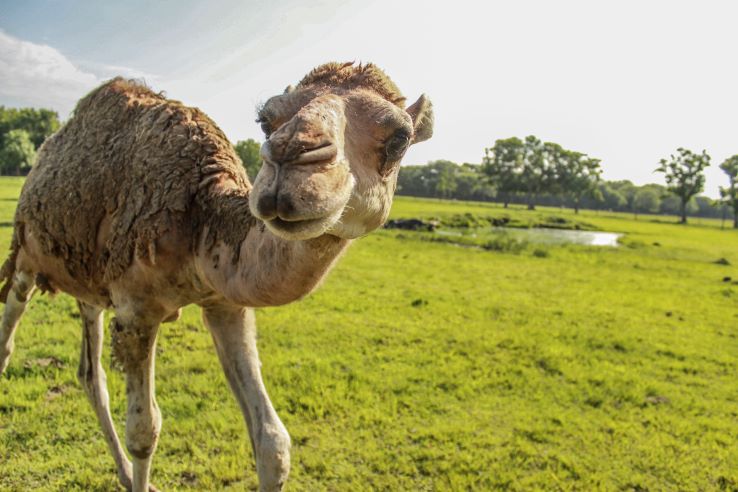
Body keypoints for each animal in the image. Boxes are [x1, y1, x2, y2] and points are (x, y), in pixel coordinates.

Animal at [0, 62, 432, 492]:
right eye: (265, 119)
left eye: (400, 138)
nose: (292, 155)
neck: (200, 217)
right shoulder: (136, 311)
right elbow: (143, 432)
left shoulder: (225, 302)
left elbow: (273, 441)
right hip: (25, 254)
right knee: (9, 335)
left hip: (88, 279)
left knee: (91, 373)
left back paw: (121, 471)